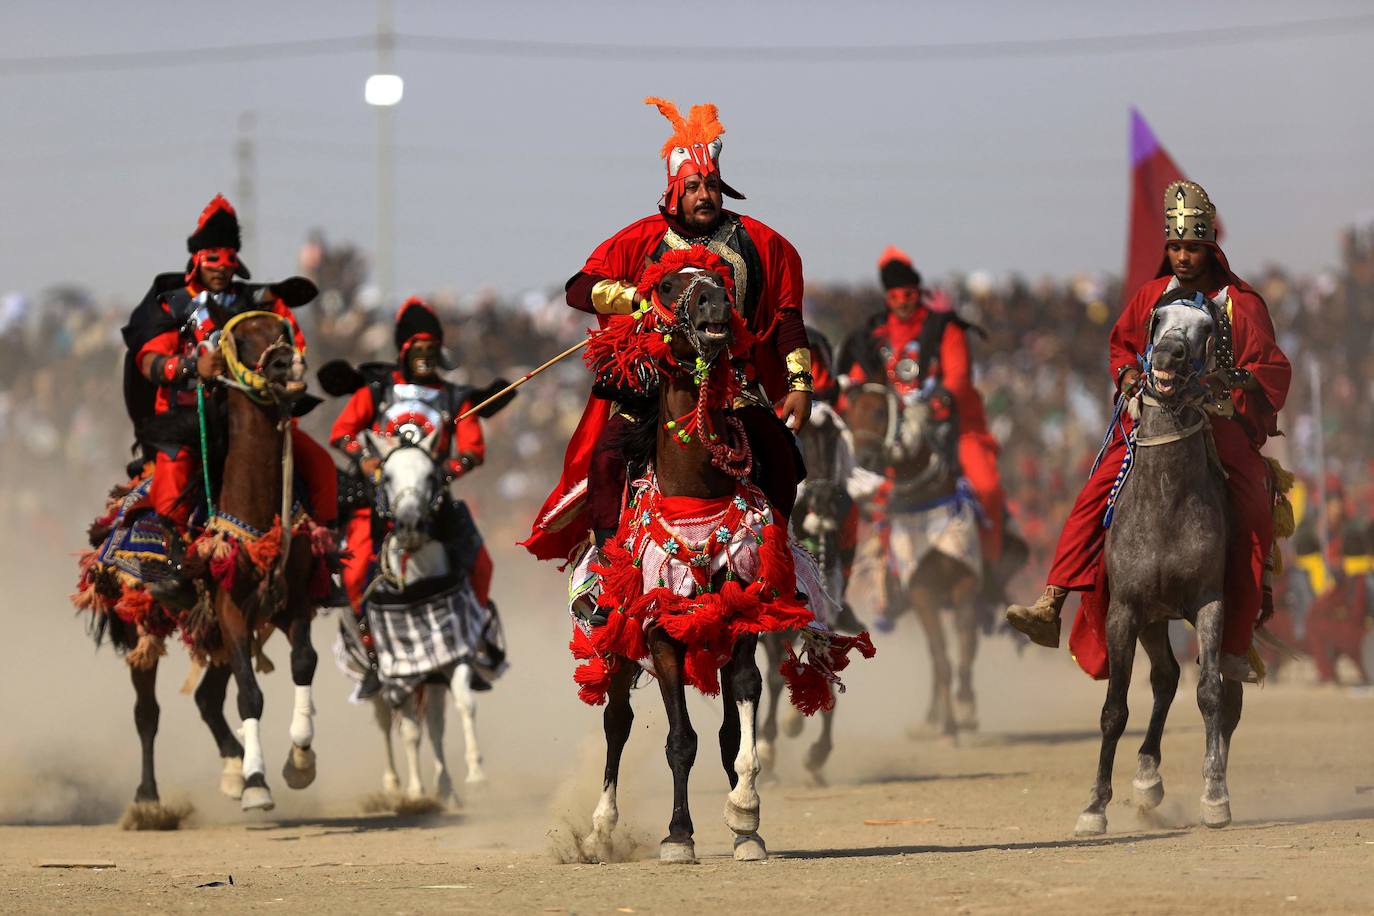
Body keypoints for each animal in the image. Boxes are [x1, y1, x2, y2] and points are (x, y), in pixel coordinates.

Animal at [332, 428, 505, 802]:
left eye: (430, 476)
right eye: (388, 476)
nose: (410, 524)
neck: (417, 583)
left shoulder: (451, 654)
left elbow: (464, 705)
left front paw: (476, 775)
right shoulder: (399, 671)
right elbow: (409, 730)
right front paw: (414, 791)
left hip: (432, 674)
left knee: (436, 723)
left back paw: (446, 787)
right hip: (370, 667)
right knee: (385, 719)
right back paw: (395, 784)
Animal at [840, 384, 983, 741]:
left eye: (880, 411)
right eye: (848, 415)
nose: (863, 461)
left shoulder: (965, 583)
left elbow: (966, 647)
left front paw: (966, 707)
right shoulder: (921, 593)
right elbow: (942, 658)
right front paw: (949, 725)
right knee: (935, 656)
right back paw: (935, 719)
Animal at [1077, 288, 1242, 840]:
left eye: (1207, 328)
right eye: (1158, 320)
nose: (1169, 356)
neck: (1167, 500)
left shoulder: (1212, 601)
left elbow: (1210, 692)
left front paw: (1215, 796)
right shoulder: (1125, 609)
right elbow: (1113, 708)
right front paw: (1094, 806)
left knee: (1223, 696)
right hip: (1151, 618)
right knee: (1166, 677)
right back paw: (1147, 777)